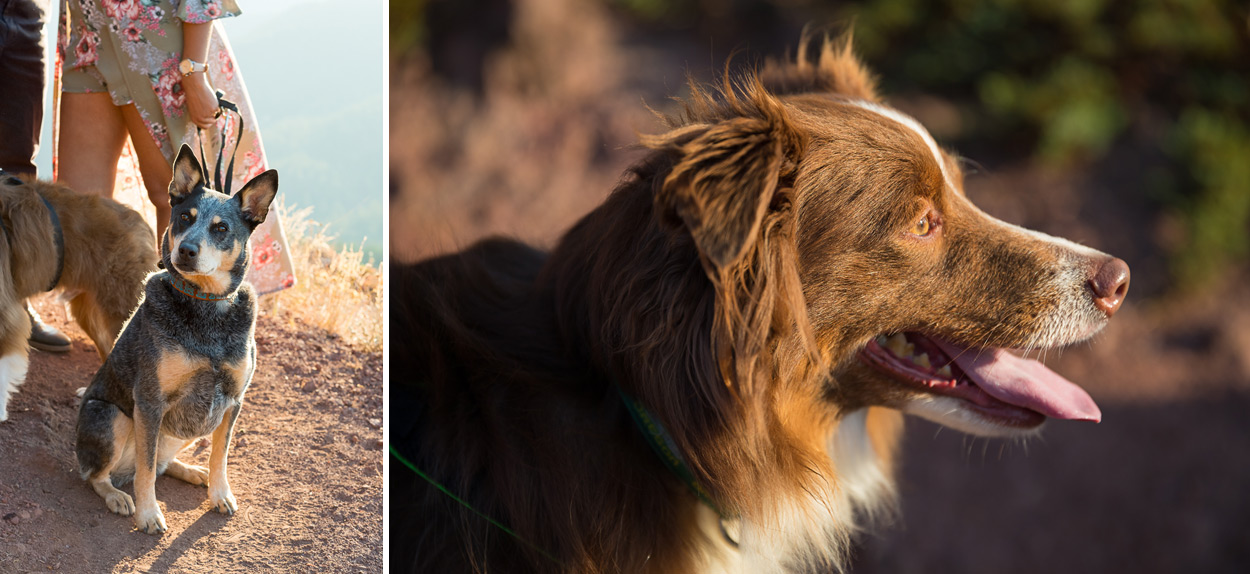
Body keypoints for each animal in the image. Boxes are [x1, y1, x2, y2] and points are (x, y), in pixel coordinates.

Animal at [75, 143, 278, 535]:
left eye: (221, 227)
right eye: (184, 217)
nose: (185, 250)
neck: (206, 309)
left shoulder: (233, 401)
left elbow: (219, 456)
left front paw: (219, 492)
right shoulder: (149, 400)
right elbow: (146, 469)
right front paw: (148, 514)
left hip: (182, 432)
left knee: (161, 464)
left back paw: (192, 472)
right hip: (113, 416)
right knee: (99, 474)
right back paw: (117, 496)